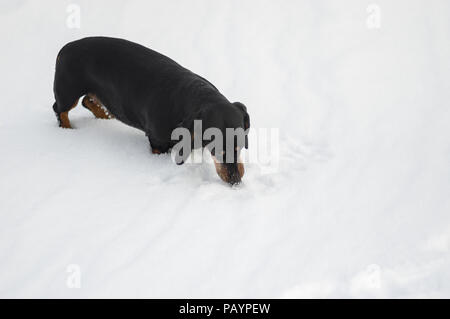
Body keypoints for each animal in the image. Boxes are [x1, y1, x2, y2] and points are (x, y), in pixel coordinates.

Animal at [53, 37, 250, 186]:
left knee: (87, 101)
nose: (236, 181)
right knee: (60, 109)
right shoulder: (157, 142)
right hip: (68, 91)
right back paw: (68, 130)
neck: (195, 96)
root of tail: (65, 48)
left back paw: (106, 116)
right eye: (218, 150)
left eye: (240, 146)